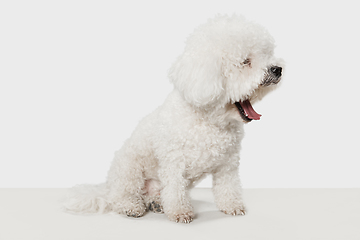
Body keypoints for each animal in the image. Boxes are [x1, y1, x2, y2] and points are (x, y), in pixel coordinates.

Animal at [64, 14, 284, 223]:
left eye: (267, 55)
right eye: (245, 62)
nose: (277, 69)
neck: (209, 120)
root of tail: (107, 188)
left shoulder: (228, 165)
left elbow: (228, 187)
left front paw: (232, 206)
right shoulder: (174, 163)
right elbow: (176, 190)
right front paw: (180, 212)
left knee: (152, 196)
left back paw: (157, 203)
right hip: (129, 170)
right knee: (120, 197)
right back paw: (131, 206)